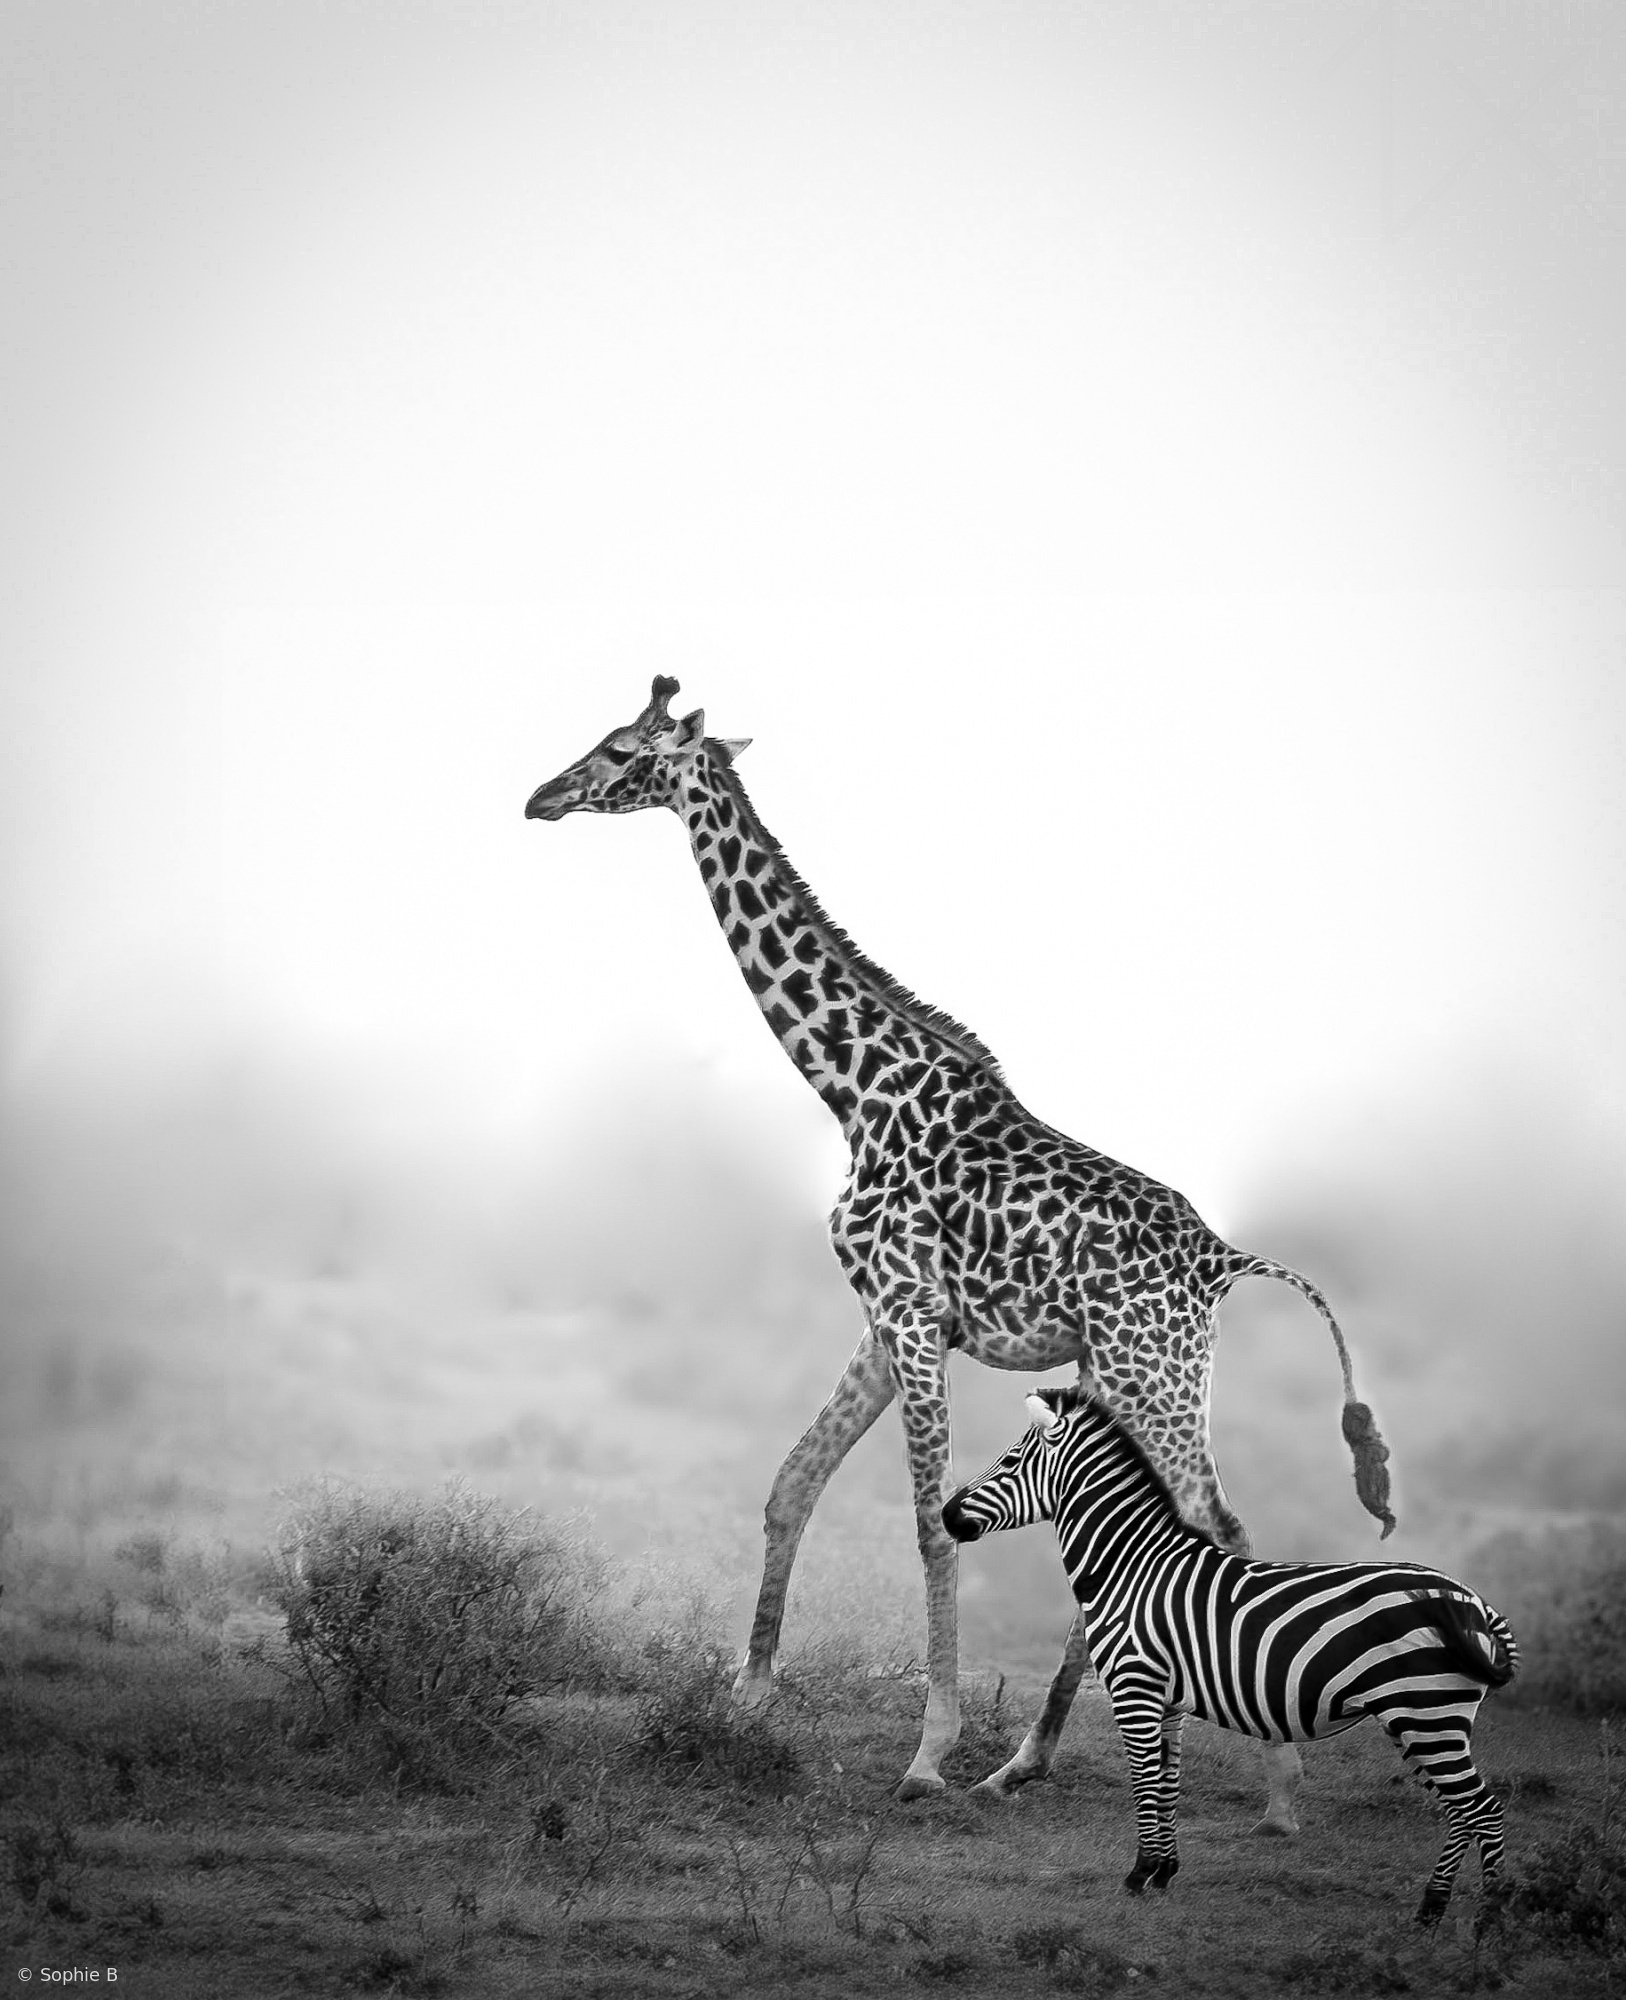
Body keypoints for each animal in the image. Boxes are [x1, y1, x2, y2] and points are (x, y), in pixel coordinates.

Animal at [525, 677, 1395, 1814]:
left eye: (623, 748)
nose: (540, 796)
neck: (855, 1090)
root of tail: (1224, 1262)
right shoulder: (884, 1318)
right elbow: (791, 1482)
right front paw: (748, 1693)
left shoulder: (910, 1313)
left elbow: (931, 1525)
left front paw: (927, 1754)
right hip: (1121, 1374)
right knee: (1158, 1533)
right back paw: (1029, 1756)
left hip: (1153, 1372)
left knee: (1221, 1526)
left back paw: (1276, 1785)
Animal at [941, 1383, 1518, 1924]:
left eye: (1009, 1461)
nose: (947, 1515)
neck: (1129, 1567)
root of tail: (1474, 1602)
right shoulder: (1166, 1699)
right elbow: (1168, 1779)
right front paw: (1164, 1871)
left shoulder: (1134, 1689)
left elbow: (1144, 1779)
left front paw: (1139, 1873)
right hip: (1422, 1717)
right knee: (1464, 1813)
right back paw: (1432, 1910)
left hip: (1427, 1712)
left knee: (1483, 1811)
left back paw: (1486, 1920)